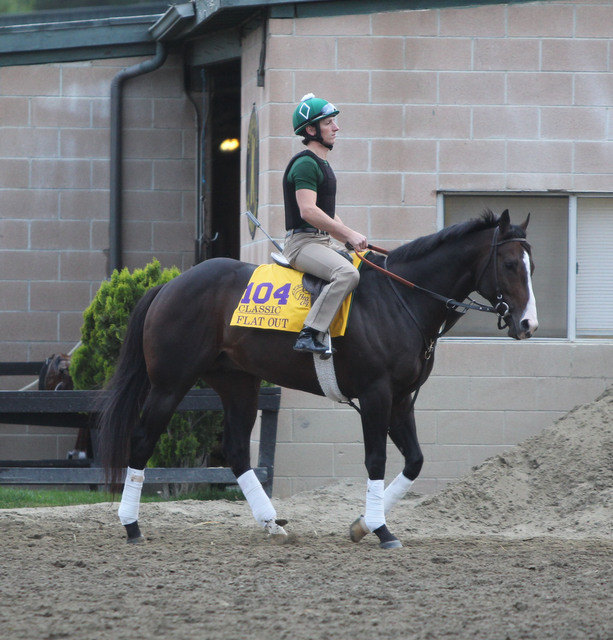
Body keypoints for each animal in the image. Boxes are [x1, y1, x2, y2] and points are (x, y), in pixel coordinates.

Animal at [99, 208, 536, 548]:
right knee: (143, 440)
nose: (528, 324)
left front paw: (363, 525)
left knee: (237, 450)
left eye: (532, 265)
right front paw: (380, 529)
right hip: (170, 384)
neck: (400, 299)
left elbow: (414, 461)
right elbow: (376, 459)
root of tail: (171, 284)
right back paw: (131, 525)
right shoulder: (376, 395)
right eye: (510, 265)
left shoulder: (400, 399)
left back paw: (271, 523)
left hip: (238, 383)